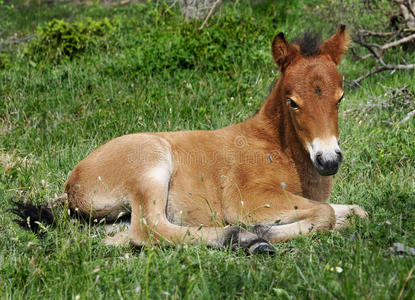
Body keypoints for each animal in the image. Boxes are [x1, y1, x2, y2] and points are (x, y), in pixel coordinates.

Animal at [12, 25, 368, 253]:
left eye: (340, 97)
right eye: (293, 102)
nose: (329, 160)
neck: (277, 148)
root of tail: (71, 184)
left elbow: (355, 212)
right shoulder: (248, 199)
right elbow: (327, 213)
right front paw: (262, 230)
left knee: (120, 235)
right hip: (152, 165)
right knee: (150, 229)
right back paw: (244, 238)